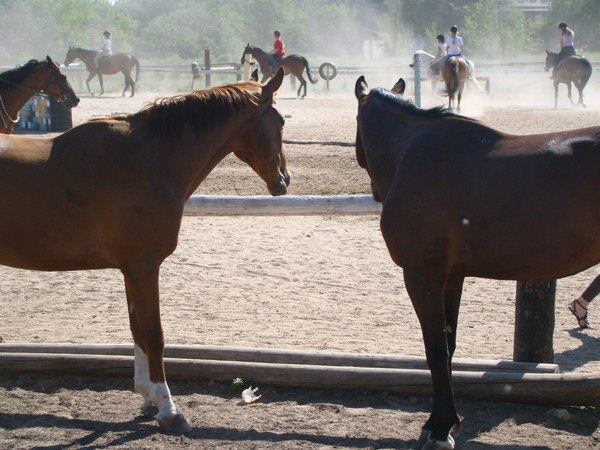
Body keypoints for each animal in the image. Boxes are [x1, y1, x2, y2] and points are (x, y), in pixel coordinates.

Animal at [0, 68, 288, 434]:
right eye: (280, 121)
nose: (284, 180)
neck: (149, 159)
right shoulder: (144, 266)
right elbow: (153, 335)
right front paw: (168, 409)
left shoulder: (130, 270)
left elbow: (136, 329)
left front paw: (148, 400)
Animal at [354, 75, 600, 448]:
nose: (373, 192)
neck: (412, 151)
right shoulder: (452, 276)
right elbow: (449, 344)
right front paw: (441, 422)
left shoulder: (422, 275)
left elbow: (435, 349)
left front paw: (441, 428)